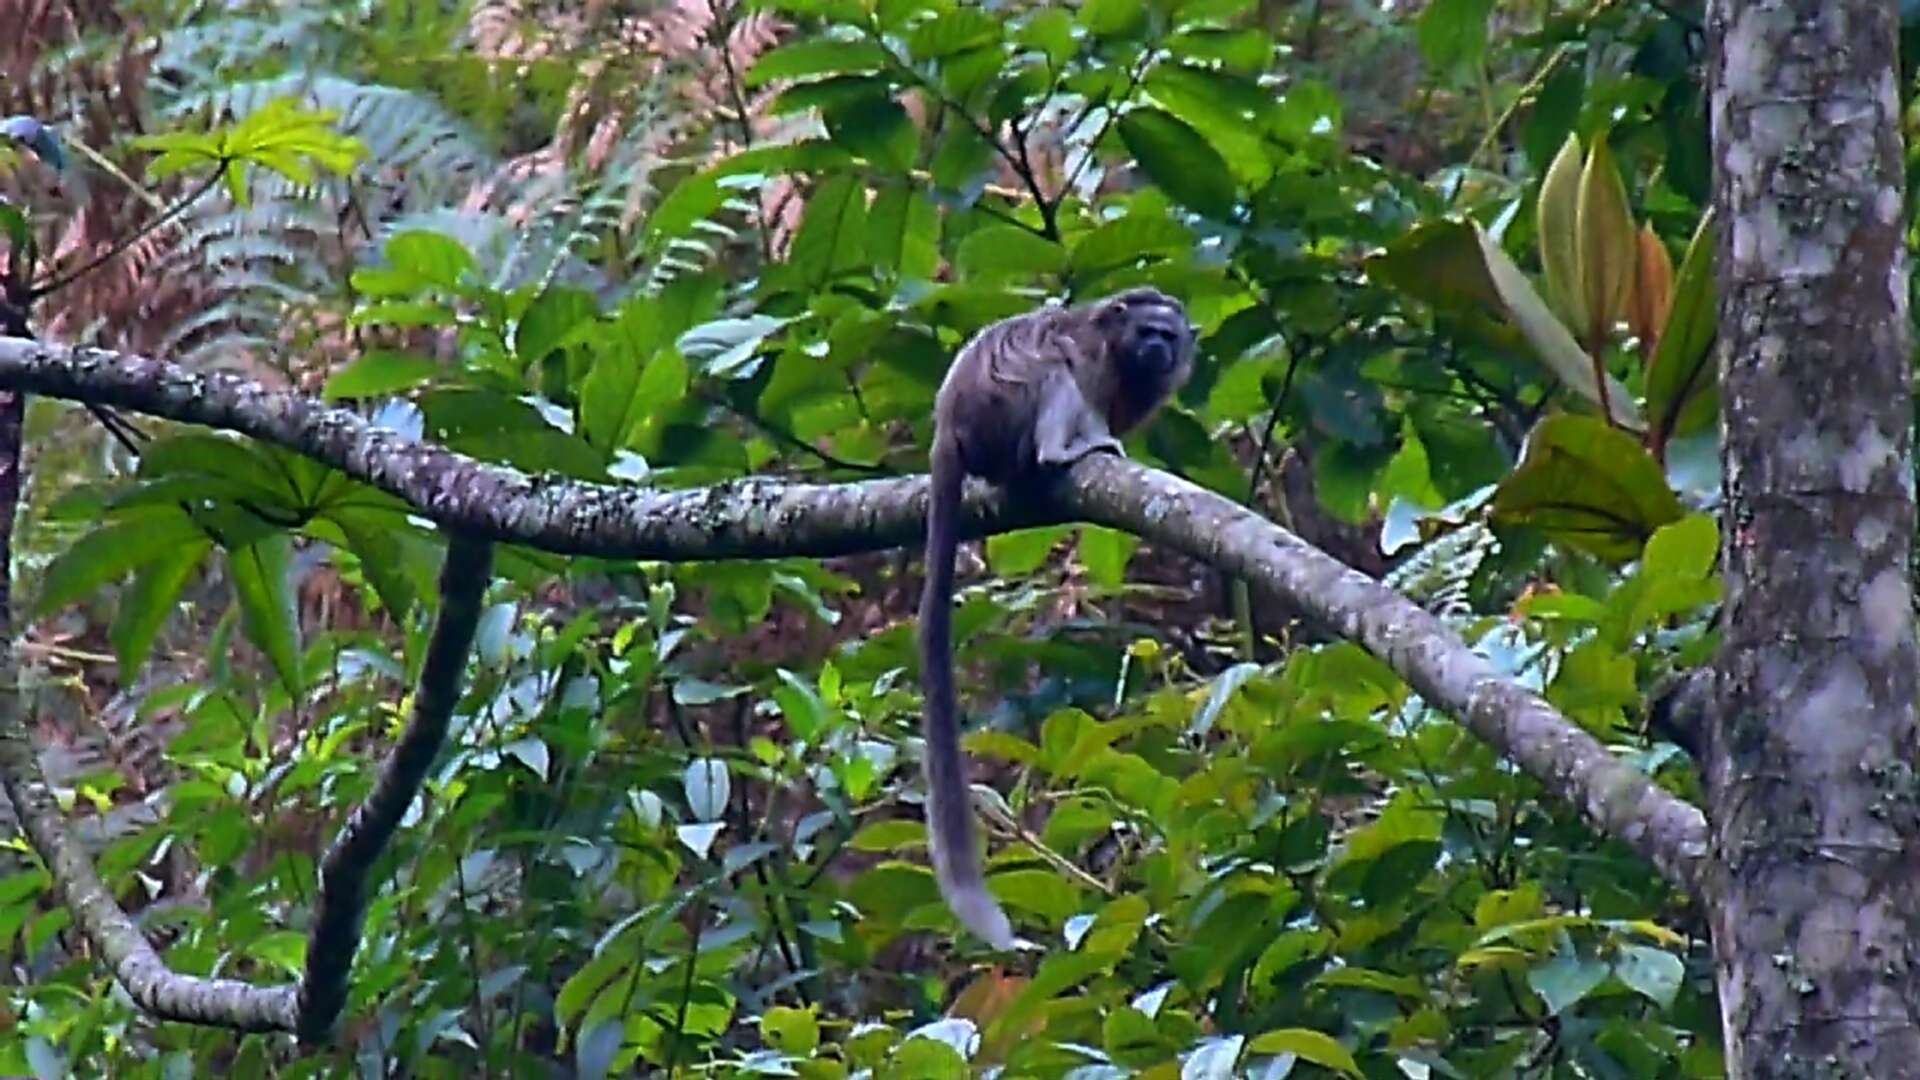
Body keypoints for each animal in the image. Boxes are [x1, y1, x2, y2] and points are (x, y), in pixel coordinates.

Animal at [917, 286, 1198, 941]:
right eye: (1146, 331)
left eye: (1167, 337)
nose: (1156, 348)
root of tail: (950, 424)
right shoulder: (1095, 361)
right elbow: (1073, 373)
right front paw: (1089, 438)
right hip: (1000, 410)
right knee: (1048, 364)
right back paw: (1059, 449)